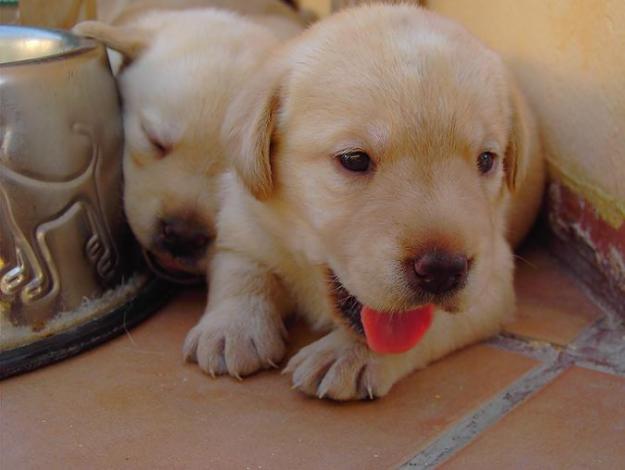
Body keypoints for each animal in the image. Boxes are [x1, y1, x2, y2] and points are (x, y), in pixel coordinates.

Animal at [183, 4, 544, 400]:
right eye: (354, 159)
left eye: (486, 160)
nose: (443, 270)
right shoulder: (243, 218)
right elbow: (240, 270)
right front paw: (232, 328)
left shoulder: (492, 282)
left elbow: (427, 325)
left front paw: (349, 354)